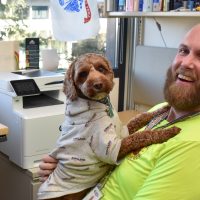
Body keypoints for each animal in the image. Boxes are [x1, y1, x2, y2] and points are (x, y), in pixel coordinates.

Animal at [37, 53, 180, 200]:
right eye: (83, 74)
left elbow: (140, 117)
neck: (101, 105)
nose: (98, 84)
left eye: (101, 68)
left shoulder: (123, 131)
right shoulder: (111, 147)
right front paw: (169, 131)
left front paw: (163, 108)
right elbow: (140, 136)